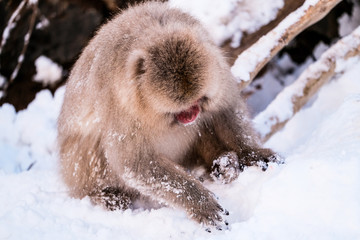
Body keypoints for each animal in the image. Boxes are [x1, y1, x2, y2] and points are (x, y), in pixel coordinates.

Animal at [58, 0, 278, 229]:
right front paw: (200, 203)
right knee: (91, 147)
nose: (191, 116)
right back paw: (104, 195)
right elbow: (134, 163)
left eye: (197, 101)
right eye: (180, 110)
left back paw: (223, 164)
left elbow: (224, 110)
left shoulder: (216, 66)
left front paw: (252, 152)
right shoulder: (120, 105)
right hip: (77, 167)